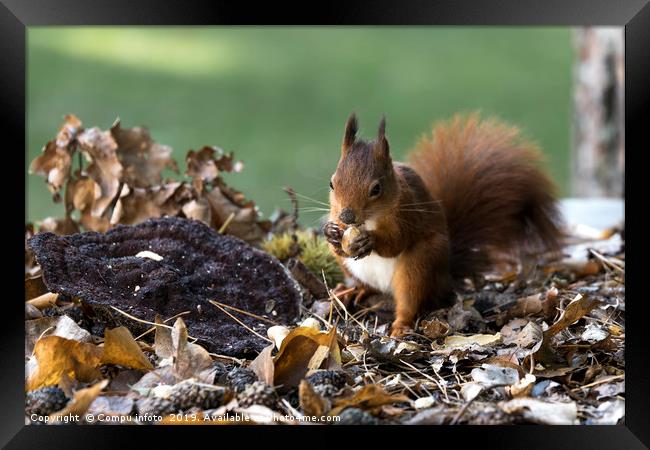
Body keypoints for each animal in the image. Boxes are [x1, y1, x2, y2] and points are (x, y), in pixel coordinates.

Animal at [324, 113, 560, 338]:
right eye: (332, 183)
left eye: (376, 189)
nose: (346, 216)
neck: (368, 221)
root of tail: (445, 277)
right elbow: (338, 244)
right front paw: (331, 233)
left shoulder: (408, 215)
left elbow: (396, 243)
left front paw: (369, 240)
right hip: (352, 268)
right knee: (366, 285)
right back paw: (353, 291)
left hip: (419, 264)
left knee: (410, 301)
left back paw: (400, 326)